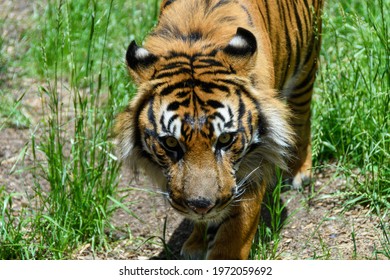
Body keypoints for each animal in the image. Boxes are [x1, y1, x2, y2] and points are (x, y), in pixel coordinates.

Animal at [115, 0, 322, 260]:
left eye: (225, 139)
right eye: (170, 143)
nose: (202, 205)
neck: (195, 39)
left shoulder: (252, 165)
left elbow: (235, 230)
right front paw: (196, 243)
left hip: (306, 63)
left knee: (302, 116)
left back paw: (299, 172)